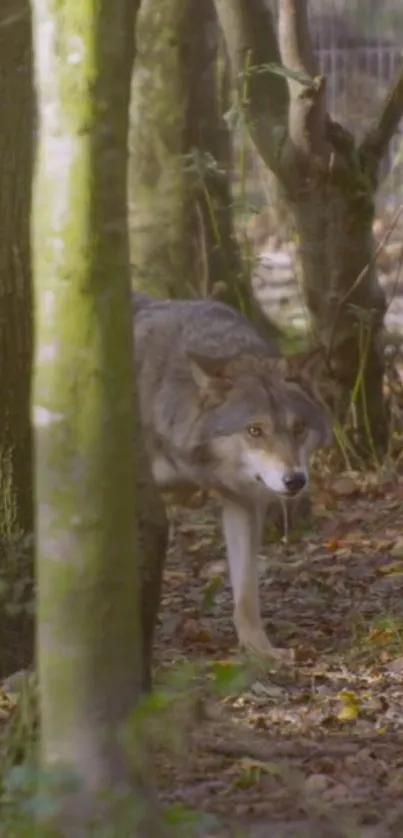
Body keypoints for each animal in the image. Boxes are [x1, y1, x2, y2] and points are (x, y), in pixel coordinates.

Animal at [133, 296, 332, 664]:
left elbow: (247, 591)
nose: (294, 480)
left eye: (298, 427)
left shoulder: (244, 503)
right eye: (255, 430)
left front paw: (260, 649)